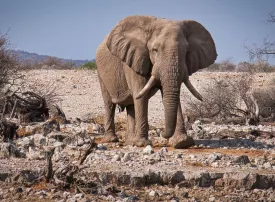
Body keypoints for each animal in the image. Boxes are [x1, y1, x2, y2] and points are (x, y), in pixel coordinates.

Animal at [96, 15, 219, 148]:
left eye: (186, 50)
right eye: (155, 50)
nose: (163, 133)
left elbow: (170, 94)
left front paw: (182, 142)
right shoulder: (134, 59)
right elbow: (140, 94)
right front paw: (142, 143)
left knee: (131, 106)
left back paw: (130, 142)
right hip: (101, 73)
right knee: (110, 104)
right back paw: (112, 140)